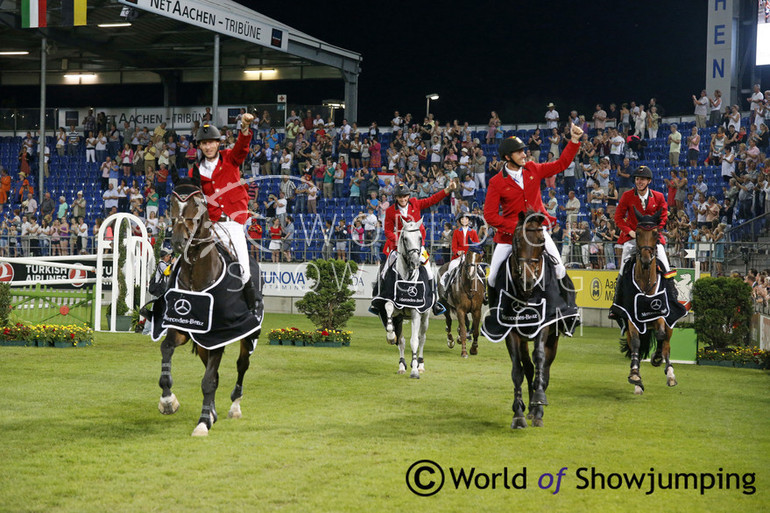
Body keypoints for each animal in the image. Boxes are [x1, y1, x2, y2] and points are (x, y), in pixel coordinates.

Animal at [157, 180, 260, 436]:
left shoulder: (219, 336)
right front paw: (168, 401)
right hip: (203, 343)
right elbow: (166, 350)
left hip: (247, 335)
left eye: (198, 204)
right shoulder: (183, 329)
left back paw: (234, 407)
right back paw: (213, 411)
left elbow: (208, 381)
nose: (178, 241)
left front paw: (203, 423)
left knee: (241, 366)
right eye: (172, 202)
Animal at [620, 210, 676, 394]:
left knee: (666, 343)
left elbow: (661, 335)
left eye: (656, 233)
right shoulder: (632, 318)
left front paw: (657, 358)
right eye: (637, 233)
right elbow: (636, 343)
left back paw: (670, 373)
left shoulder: (659, 314)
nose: (645, 259)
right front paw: (635, 376)